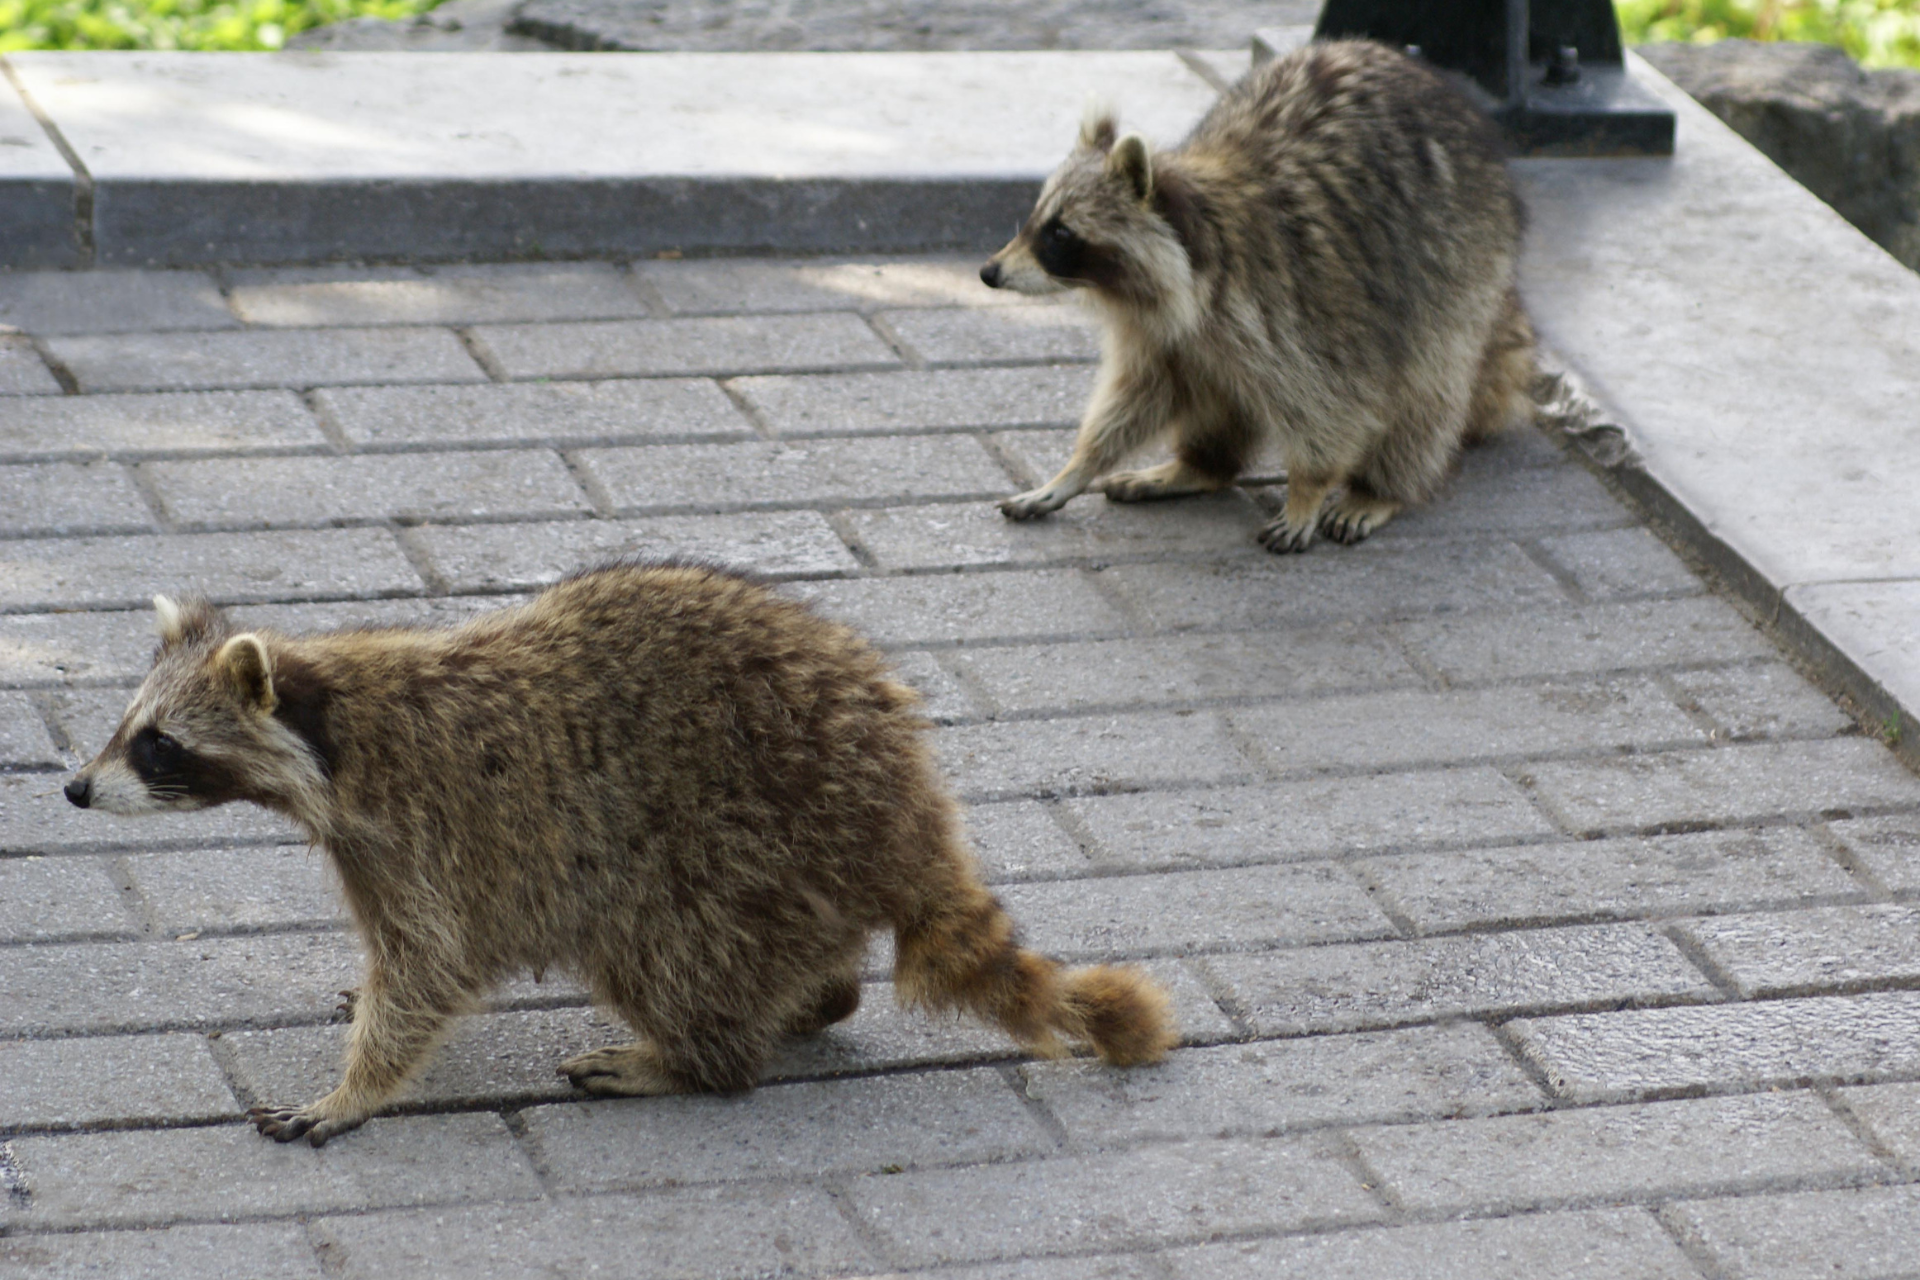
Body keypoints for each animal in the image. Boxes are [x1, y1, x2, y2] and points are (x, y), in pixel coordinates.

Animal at [67, 564, 1175, 1143]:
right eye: (122, 727)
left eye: (157, 744)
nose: (74, 788)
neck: (331, 717)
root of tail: (908, 807)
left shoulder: (421, 826)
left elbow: (429, 966)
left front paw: (355, 1089)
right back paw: (811, 998)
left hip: (744, 837)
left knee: (661, 948)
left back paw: (688, 1058)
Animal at [983, 38, 1536, 552]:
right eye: (1035, 219)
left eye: (1059, 234)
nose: (989, 273)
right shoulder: (1163, 331)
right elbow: (1138, 395)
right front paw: (1077, 467)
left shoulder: (1300, 300)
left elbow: (1334, 401)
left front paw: (1309, 488)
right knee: (1216, 388)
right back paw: (1200, 465)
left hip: (1461, 262)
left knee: (1429, 384)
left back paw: (1383, 487)